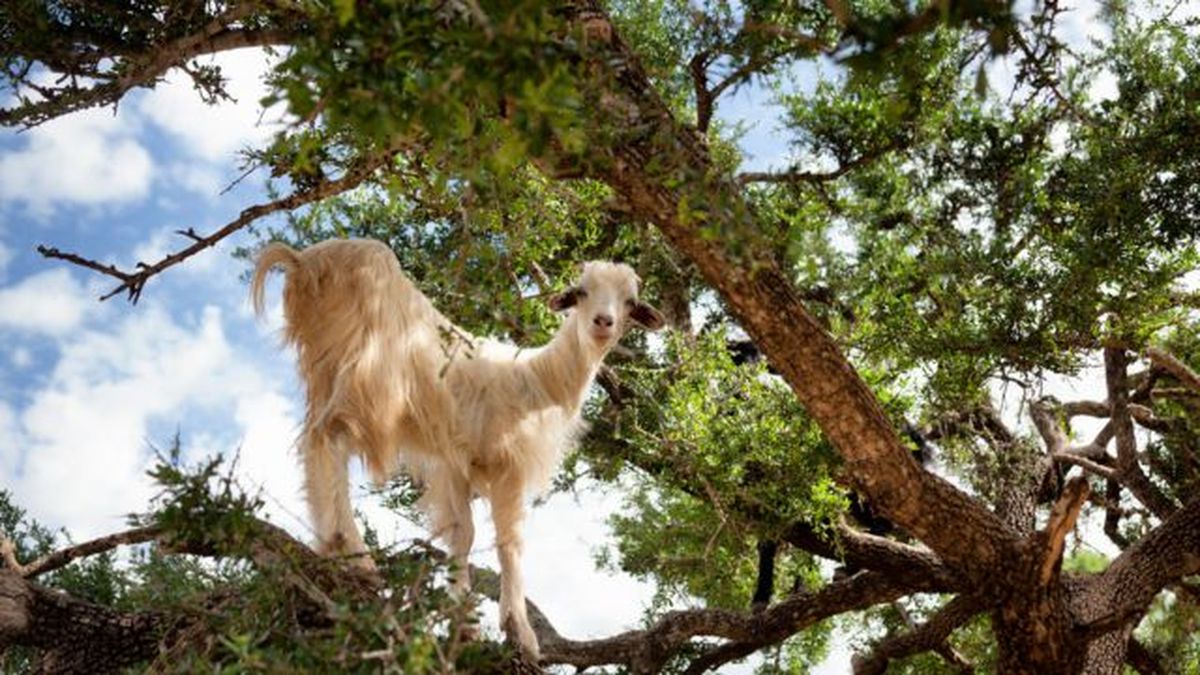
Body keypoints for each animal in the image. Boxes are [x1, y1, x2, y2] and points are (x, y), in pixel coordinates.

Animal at [250, 238, 665, 658]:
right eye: (581, 292)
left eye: (630, 302)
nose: (603, 322)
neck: (537, 381)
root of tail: (305, 261)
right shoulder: (506, 465)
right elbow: (509, 543)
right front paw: (519, 631)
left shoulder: (455, 461)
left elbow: (462, 535)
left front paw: (463, 622)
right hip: (368, 376)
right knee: (329, 438)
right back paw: (354, 554)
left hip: (326, 369)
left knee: (316, 442)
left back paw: (331, 549)